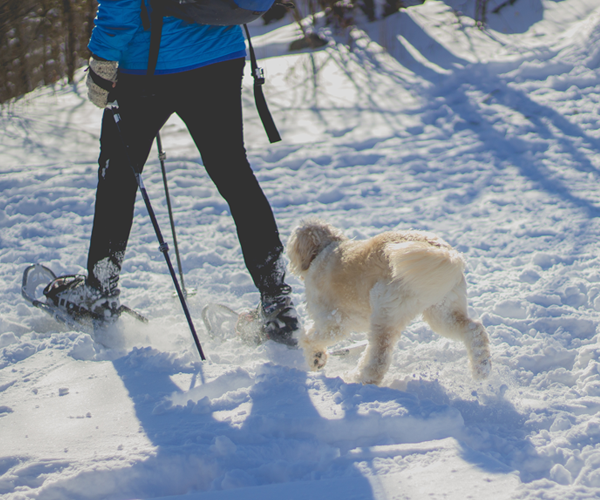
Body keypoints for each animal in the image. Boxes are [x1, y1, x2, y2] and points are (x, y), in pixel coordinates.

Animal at [288, 219, 490, 386]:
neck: (324, 249)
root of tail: (445, 252)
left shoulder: (333, 322)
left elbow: (308, 338)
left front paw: (315, 357)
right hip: (442, 311)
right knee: (474, 330)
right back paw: (481, 369)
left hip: (385, 311)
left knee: (379, 358)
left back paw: (359, 379)